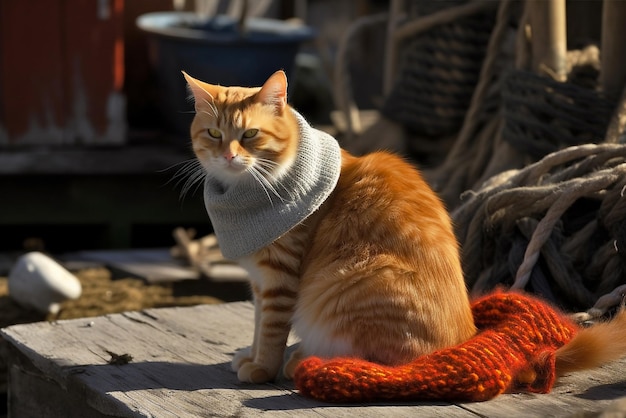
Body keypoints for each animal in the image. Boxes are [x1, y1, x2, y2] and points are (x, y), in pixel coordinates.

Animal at [183, 69, 476, 386]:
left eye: (250, 134)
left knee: (376, 361)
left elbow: (271, 331)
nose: (228, 156)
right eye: (214, 134)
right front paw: (252, 355)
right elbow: (258, 325)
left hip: (355, 282)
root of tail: (459, 342)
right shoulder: (260, 282)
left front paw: (262, 367)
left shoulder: (280, 278)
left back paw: (303, 361)